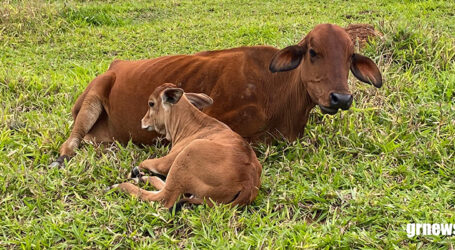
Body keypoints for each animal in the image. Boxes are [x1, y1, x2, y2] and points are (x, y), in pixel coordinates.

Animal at [51, 23, 382, 166]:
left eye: (351, 57)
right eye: (313, 52)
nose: (341, 99)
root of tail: (117, 64)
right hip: (92, 98)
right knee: (72, 140)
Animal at [109, 83, 264, 210]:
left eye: (151, 103)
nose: (143, 121)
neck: (191, 124)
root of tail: (248, 181)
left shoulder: (166, 162)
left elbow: (145, 162)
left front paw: (134, 171)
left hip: (187, 155)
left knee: (163, 198)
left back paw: (121, 185)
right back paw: (141, 178)